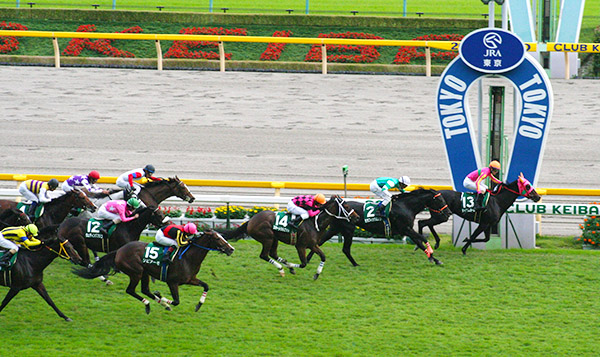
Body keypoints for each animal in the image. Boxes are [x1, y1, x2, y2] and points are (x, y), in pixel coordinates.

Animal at [73, 229, 234, 312]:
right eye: (218, 239)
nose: (231, 249)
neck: (188, 257)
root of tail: (119, 250)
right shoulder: (172, 282)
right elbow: (176, 301)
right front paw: (163, 298)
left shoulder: (190, 279)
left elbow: (206, 286)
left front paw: (199, 304)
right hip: (136, 272)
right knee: (131, 290)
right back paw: (149, 304)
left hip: (145, 272)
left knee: (144, 290)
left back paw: (159, 303)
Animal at [221, 195, 358, 278]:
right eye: (346, 206)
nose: (356, 217)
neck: (316, 223)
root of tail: (251, 220)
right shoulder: (301, 246)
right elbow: (303, 264)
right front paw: (293, 266)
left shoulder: (313, 245)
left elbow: (323, 256)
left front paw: (317, 274)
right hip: (267, 238)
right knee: (264, 255)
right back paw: (282, 268)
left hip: (274, 239)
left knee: (273, 254)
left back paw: (286, 266)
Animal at [310, 188, 450, 266]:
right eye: (440, 200)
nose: (448, 212)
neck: (406, 206)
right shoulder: (406, 229)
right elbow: (423, 239)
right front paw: (432, 254)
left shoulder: (408, 230)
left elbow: (420, 243)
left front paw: (434, 259)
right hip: (348, 229)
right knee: (345, 249)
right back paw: (355, 264)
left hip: (335, 228)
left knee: (319, 242)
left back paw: (309, 258)